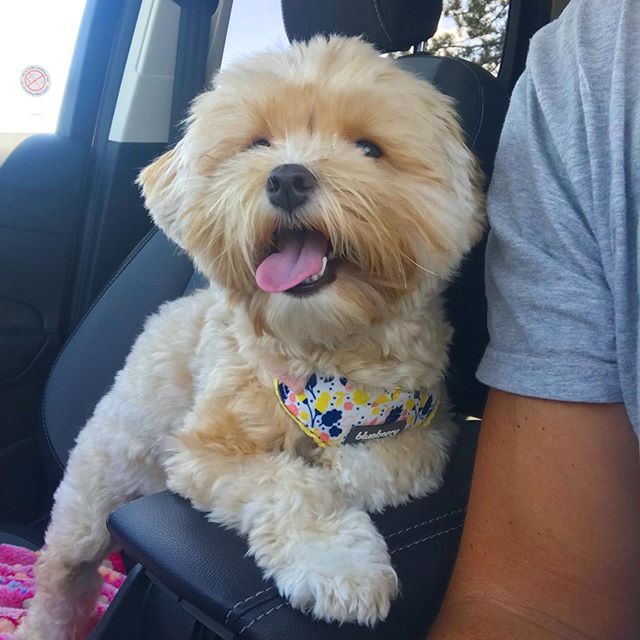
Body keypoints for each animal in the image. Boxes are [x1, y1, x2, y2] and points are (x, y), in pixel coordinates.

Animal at [17, 36, 482, 640]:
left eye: (369, 148)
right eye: (257, 143)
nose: (287, 178)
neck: (322, 349)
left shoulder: (430, 424)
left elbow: (378, 465)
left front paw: (339, 471)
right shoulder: (204, 450)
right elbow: (288, 486)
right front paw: (339, 566)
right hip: (93, 493)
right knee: (62, 580)